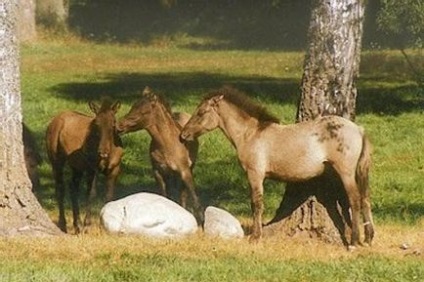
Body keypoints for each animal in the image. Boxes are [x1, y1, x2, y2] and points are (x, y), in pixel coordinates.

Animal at [46, 98, 123, 232]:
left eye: (113, 123)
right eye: (96, 124)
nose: (103, 152)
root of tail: (53, 121)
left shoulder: (114, 169)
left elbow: (110, 195)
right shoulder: (92, 169)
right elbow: (91, 193)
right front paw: (88, 224)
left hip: (77, 166)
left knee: (73, 187)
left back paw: (77, 225)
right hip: (57, 161)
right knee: (60, 188)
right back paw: (63, 224)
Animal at [115, 87, 203, 224]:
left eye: (144, 111)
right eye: (133, 106)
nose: (119, 126)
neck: (168, 145)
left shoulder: (185, 171)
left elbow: (192, 196)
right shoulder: (158, 171)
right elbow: (164, 196)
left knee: (183, 193)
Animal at [179, 86, 374, 247]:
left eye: (201, 112)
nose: (183, 135)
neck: (251, 134)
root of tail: (358, 129)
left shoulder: (255, 174)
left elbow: (256, 204)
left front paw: (255, 237)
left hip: (346, 173)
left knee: (355, 200)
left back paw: (354, 241)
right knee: (364, 199)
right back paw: (368, 238)